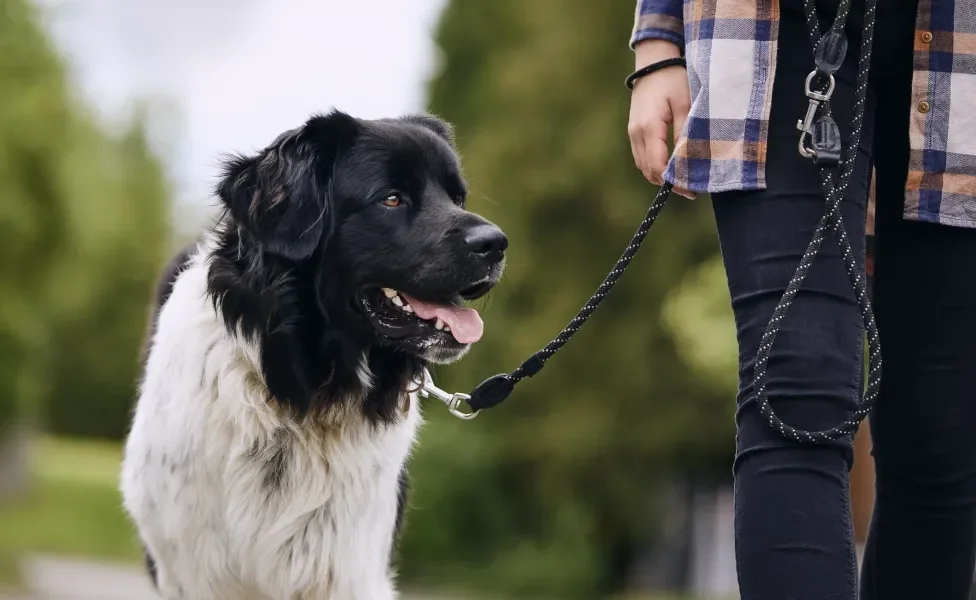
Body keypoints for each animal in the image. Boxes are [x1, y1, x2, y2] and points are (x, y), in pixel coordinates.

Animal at [118, 109, 508, 600]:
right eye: (392, 199)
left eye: (457, 197)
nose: (496, 243)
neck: (302, 393)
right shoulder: (191, 569)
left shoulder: (349, 567)